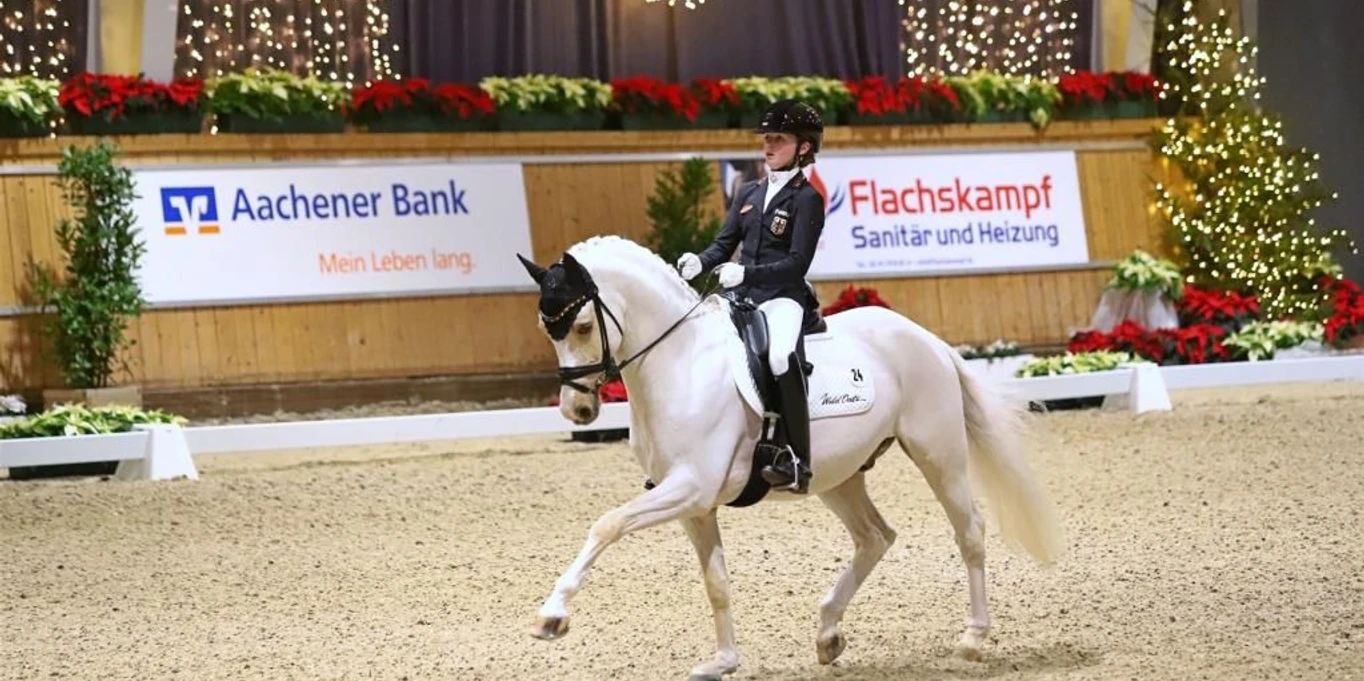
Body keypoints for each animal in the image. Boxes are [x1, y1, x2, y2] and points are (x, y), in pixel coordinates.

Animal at [515, 235, 1064, 680]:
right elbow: (716, 583)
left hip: (938, 453)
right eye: (547, 329)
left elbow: (607, 524)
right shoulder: (695, 504)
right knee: (874, 537)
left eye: (582, 325)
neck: (680, 363)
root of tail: (926, 338)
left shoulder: (690, 486)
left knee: (968, 530)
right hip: (838, 476)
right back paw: (827, 635)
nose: (578, 410)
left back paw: (972, 638)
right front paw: (723, 662)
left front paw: (552, 616)